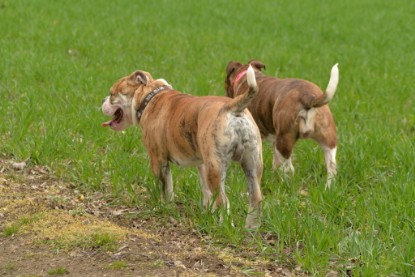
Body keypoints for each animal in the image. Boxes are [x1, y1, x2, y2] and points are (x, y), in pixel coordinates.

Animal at [101, 66, 264, 227]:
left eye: (112, 94)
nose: (103, 99)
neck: (150, 97)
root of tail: (232, 107)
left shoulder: (158, 160)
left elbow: (166, 188)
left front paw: (164, 207)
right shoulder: (203, 163)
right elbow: (205, 189)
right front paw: (207, 211)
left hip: (216, 168)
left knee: (223, 201)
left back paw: (224, 227)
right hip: (252, 163)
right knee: (255, 197)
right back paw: (251, 228)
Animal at [226, 60, 340, 189]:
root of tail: (307, 96)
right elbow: (275, 161)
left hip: (284, 140)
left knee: (289, 168)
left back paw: (286, 185)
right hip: (327, 138)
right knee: (331, 166)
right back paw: (328, 188)